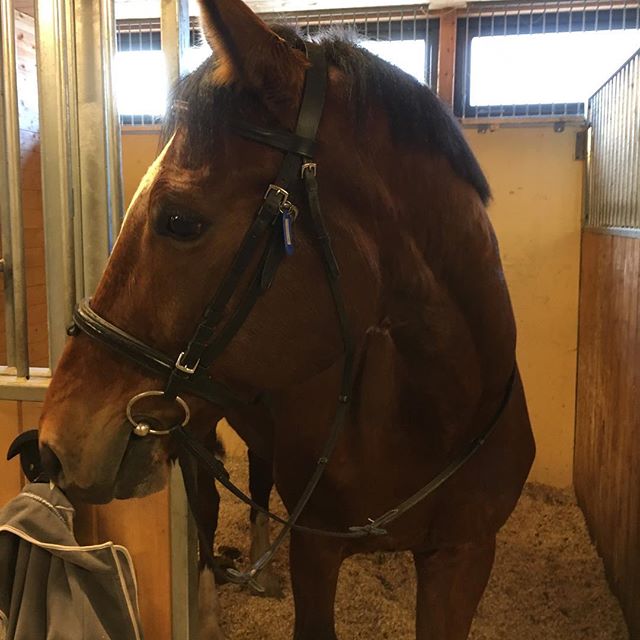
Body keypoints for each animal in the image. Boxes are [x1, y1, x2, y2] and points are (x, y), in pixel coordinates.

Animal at [38, 0, 536, 637]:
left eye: (179, 220)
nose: (55, 443)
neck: (434, 418)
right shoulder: (316, 552)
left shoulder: (464, 556)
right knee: (206, 508)